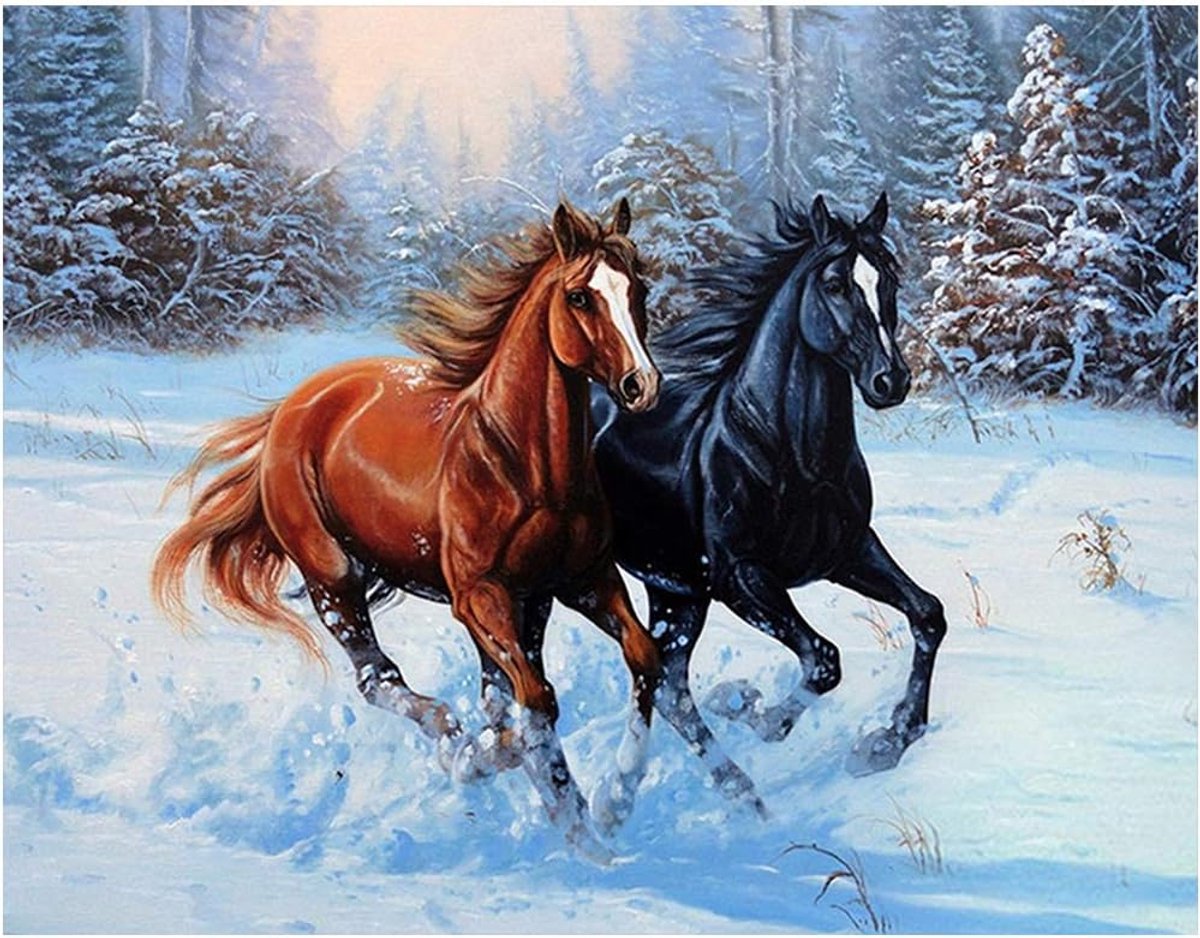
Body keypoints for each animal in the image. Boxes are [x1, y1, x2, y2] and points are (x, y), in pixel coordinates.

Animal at [151, 199, 663, 860]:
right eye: (580, 296)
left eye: (639, 290)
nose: (641, 386)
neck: (525, 464)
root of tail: (293, 408)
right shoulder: (479, 596)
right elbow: (535, 702)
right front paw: (542, 798)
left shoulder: (579, 583)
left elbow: (639, 659)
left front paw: (613, 802)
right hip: (334, 581)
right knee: (379, 678)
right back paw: (454, 741)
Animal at [585, 192, 947, 814]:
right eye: (834, 283)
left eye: (890, 278)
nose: (891, 381)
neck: (792, 456)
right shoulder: (742, 577)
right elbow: (823, 661)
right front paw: (756, 713)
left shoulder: (850, 552)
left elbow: (928, 615)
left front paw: (883, 745)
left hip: (675, 591)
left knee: (668, 681)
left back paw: (705, 794)